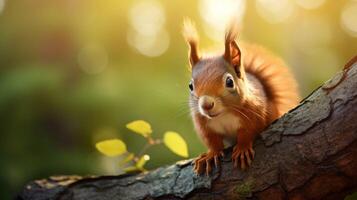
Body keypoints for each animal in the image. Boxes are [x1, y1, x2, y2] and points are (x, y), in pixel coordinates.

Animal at [182, 19, 298, 174]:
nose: (206, 105)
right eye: (190, 86)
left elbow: (247, 132)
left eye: (229, 82)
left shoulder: (254, 112)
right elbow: (212, 141)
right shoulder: (203, 123)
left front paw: (242, 149)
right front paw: (211, 154)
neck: (224, 114)